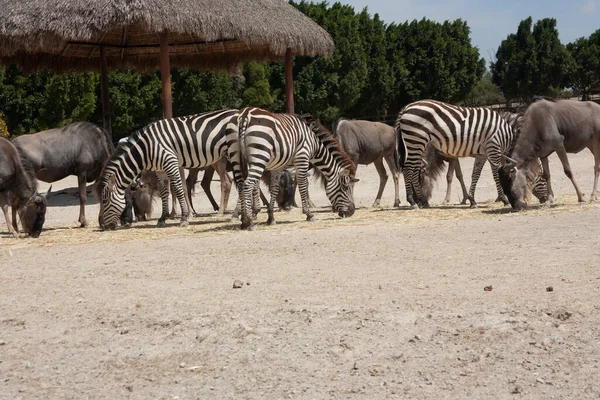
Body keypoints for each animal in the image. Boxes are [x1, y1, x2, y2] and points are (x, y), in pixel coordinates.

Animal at [96, 109, 237, 230]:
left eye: (104, 201)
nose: (102, 226)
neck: (147, 149)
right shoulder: (161, 170)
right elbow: (165, 191)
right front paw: (163, 218)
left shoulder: (172, 163)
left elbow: (179, 189)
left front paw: (184, 217)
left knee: (229, 181)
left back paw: (226, 212)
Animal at [225, 108, 356, 230]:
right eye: (345, 187)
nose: (352, 211)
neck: (315, 143)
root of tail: (245, 114)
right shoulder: (302, 157)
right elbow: (303, 185)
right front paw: (309, 214)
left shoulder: (277, 166)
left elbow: (274, 188)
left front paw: (271, 217)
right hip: (259, 156)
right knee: (248, 184)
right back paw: (250, 221)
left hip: (236, 156)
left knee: (241, 184)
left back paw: (244, 222)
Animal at [398, 99, 528, 209]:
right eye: (510, 180)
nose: (518, 206)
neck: (506, 132)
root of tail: (406, 108)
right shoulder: (493, 149)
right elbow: (495, 174)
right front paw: (503, 199)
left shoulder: (483, 154)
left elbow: (475, 175)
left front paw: (472, 200)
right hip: (416, 140)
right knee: (408, 169)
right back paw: (414, 202)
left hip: (414, 143)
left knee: (410, 169)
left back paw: (421, 201)